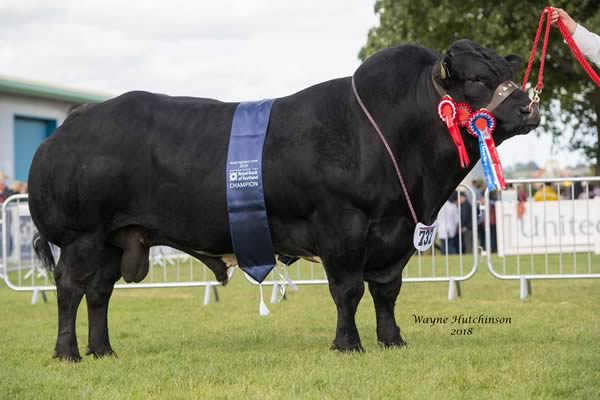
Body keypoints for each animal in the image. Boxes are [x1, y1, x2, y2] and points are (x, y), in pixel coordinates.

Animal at [30, 39, 540, 360]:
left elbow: (386, 291)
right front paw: (347, 345)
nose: (529, 108)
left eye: (509, 72)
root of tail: (77, 118)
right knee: (70, 287)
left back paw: (102, 350)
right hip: (81, 237)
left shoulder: (395, 236)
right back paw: (68, 352)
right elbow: (347, 290)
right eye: (476, 79)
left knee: (99, 292)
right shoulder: (342, 225)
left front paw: (392, 340)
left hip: (116, 240)